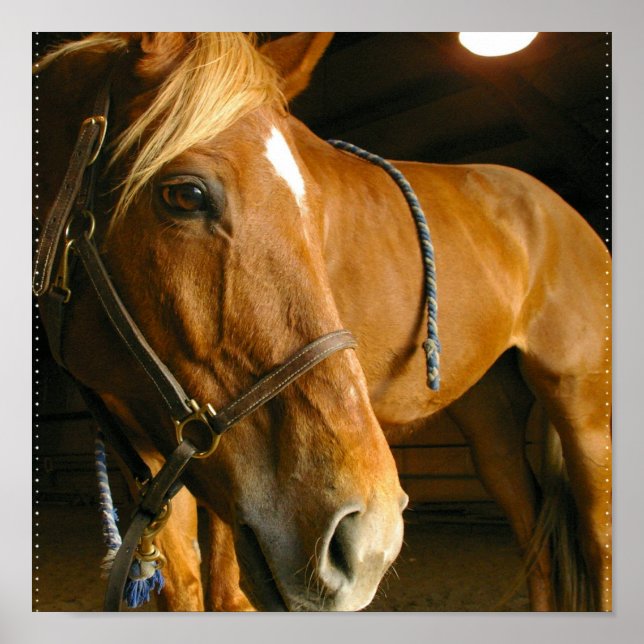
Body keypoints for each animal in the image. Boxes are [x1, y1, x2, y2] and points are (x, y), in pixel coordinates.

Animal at [34, 32, 611, 612]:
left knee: (598, 542)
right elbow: (189, 583)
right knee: (535, 538)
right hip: (492, 422)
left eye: (315, 209)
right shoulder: (159, 448)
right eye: (185, 194)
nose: (369, 539)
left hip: (585, 411)